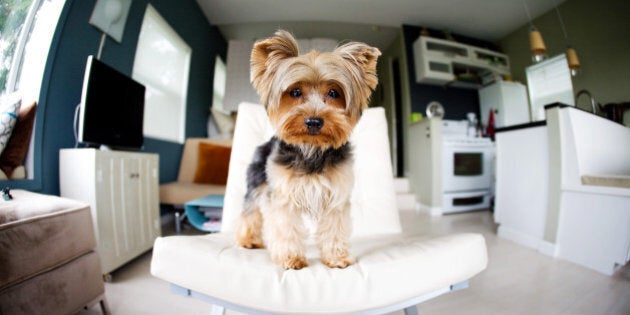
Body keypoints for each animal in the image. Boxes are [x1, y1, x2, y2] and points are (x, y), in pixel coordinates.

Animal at [233, 30, 378, 270]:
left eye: (333, 92)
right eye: (295, 92)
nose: (313, 121)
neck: (311, 149)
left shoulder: (336, 194)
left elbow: (334, 226)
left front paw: (336, 257)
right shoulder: (282, 195)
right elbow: (285, 227)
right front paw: (290, 258)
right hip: (256, 181)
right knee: (250, 211)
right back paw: (248, 240)